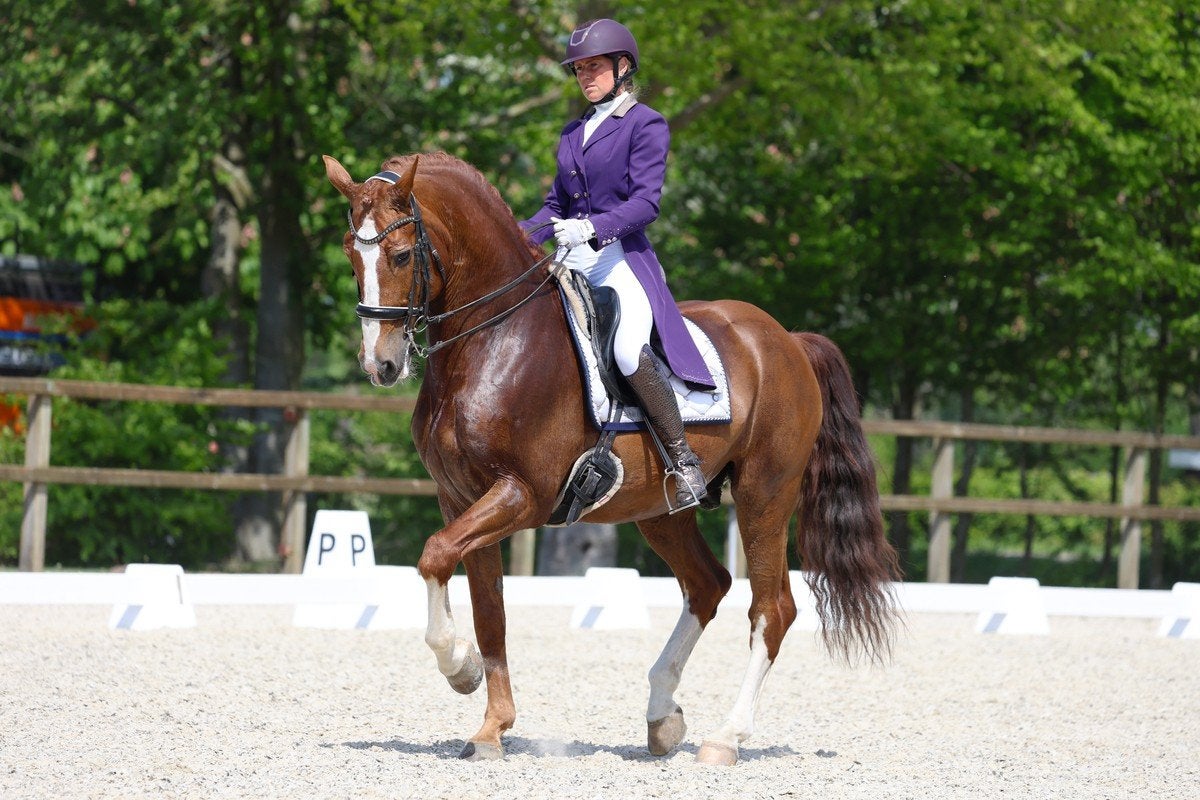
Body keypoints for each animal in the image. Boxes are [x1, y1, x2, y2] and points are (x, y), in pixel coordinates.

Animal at [323, 151, 900, 766]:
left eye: (402, 254)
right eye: (350, 254)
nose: (380, 365)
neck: (494, 339)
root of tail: (787, 340)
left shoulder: (523, 494)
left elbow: (433, 556)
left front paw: (461, 671)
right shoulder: (460, 497)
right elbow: (487, 610)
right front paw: (491, 726)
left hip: (764, 494)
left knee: (772, 607)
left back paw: (725, 738)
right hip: (660, 510)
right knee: (708, 585)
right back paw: (663, 716)